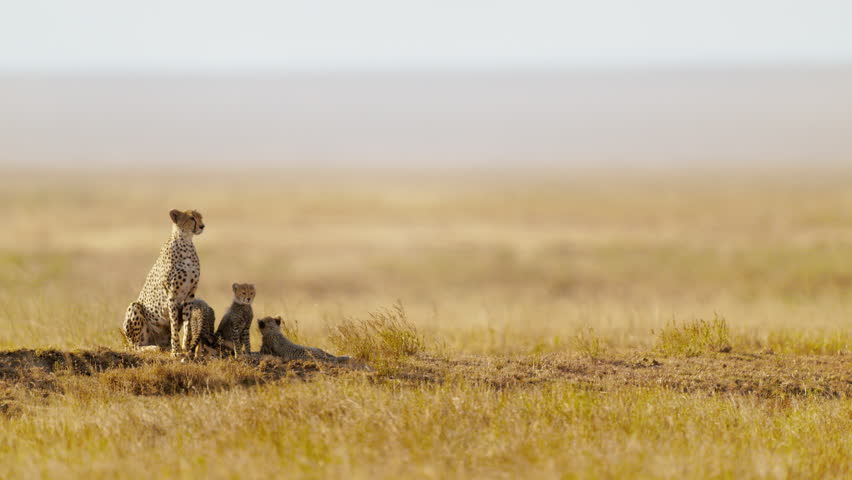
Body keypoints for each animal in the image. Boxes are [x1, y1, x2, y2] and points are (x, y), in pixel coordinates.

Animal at [122, 209, 204, 354]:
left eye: (200, 217)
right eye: (191, 218)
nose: (202, 226)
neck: (186, 242)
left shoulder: (190, 294)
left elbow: (187, 323)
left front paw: (185, 347)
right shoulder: (171, 295)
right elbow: (173, 323)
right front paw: (176, 351)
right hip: (135, 307)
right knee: (136, 346)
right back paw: (152, 347)